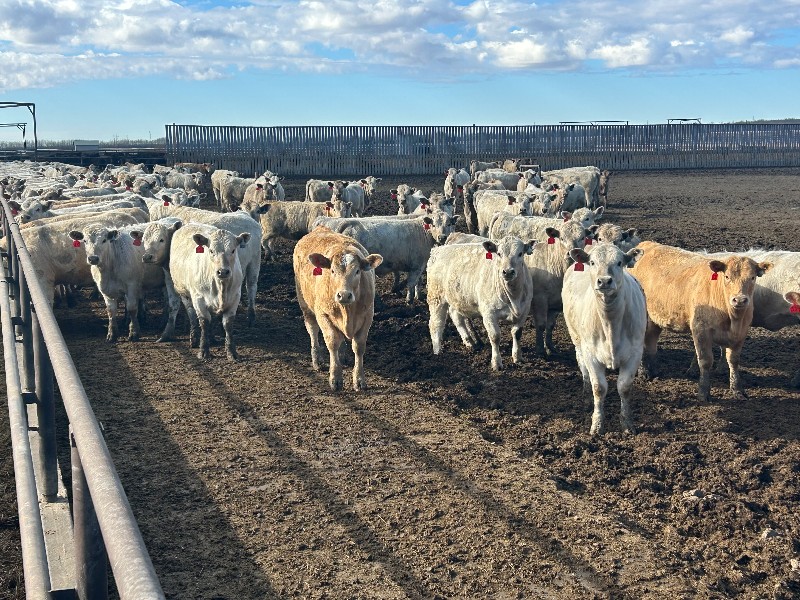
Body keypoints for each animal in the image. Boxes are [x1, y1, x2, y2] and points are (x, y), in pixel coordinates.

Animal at [169, 223, 251, 360]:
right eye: (211, 251)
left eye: (233, 250)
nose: (223, 272)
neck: (221, 287)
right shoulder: (198, 298)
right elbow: (204, 322)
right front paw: (204, 351)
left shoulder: (235, 297)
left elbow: (228, 324)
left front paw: (232, 352)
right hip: (184, 293)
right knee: (191, 314)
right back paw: (194, 338)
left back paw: (212, 338)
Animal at [292, 226, 383, 391]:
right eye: (333, 271)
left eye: (357, 271)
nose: (344, 295)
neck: (347, 311)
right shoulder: (323, 315)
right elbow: (332, 342)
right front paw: (335, 378)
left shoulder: (368, 315)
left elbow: (359, 346)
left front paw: (359, 379)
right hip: (305, 304)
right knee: (312, 329)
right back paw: (317, 359)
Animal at [427, 236, 534, 370]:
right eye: (499, 254)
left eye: (520, 253)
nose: (508, 272)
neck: (514, 297)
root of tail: (438, 250)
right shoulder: (489, 313)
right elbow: (495, 337)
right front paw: (496, 363)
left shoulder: (524, 310)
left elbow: (517, 333)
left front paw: (517, 357)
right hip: (436, 297)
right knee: (436, 324)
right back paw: (437, 352)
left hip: (457, 297)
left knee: (456, 317)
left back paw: (470, 342)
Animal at [562, 242, 647, 434]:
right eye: (592, 262)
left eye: (620, 262)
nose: (605, 281)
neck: (610, 324)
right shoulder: (591, 354)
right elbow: (599, 388)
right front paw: (597, 424)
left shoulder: (634, 353)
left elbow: (624, 387)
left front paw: (627, 423)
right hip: (577, 339)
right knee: (583, 367)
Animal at [630, 241, 772, 402]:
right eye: (727, 276)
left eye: (753, 277)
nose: (740, 300)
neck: (732, 318)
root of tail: (647, 244)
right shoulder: (701, 330)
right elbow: (705, 361)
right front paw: (704, 392)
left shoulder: (741, 333)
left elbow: (733, 360)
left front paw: (737, 389)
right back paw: (644, 372)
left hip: (655, 318)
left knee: (651, 341)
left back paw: (654, 370)